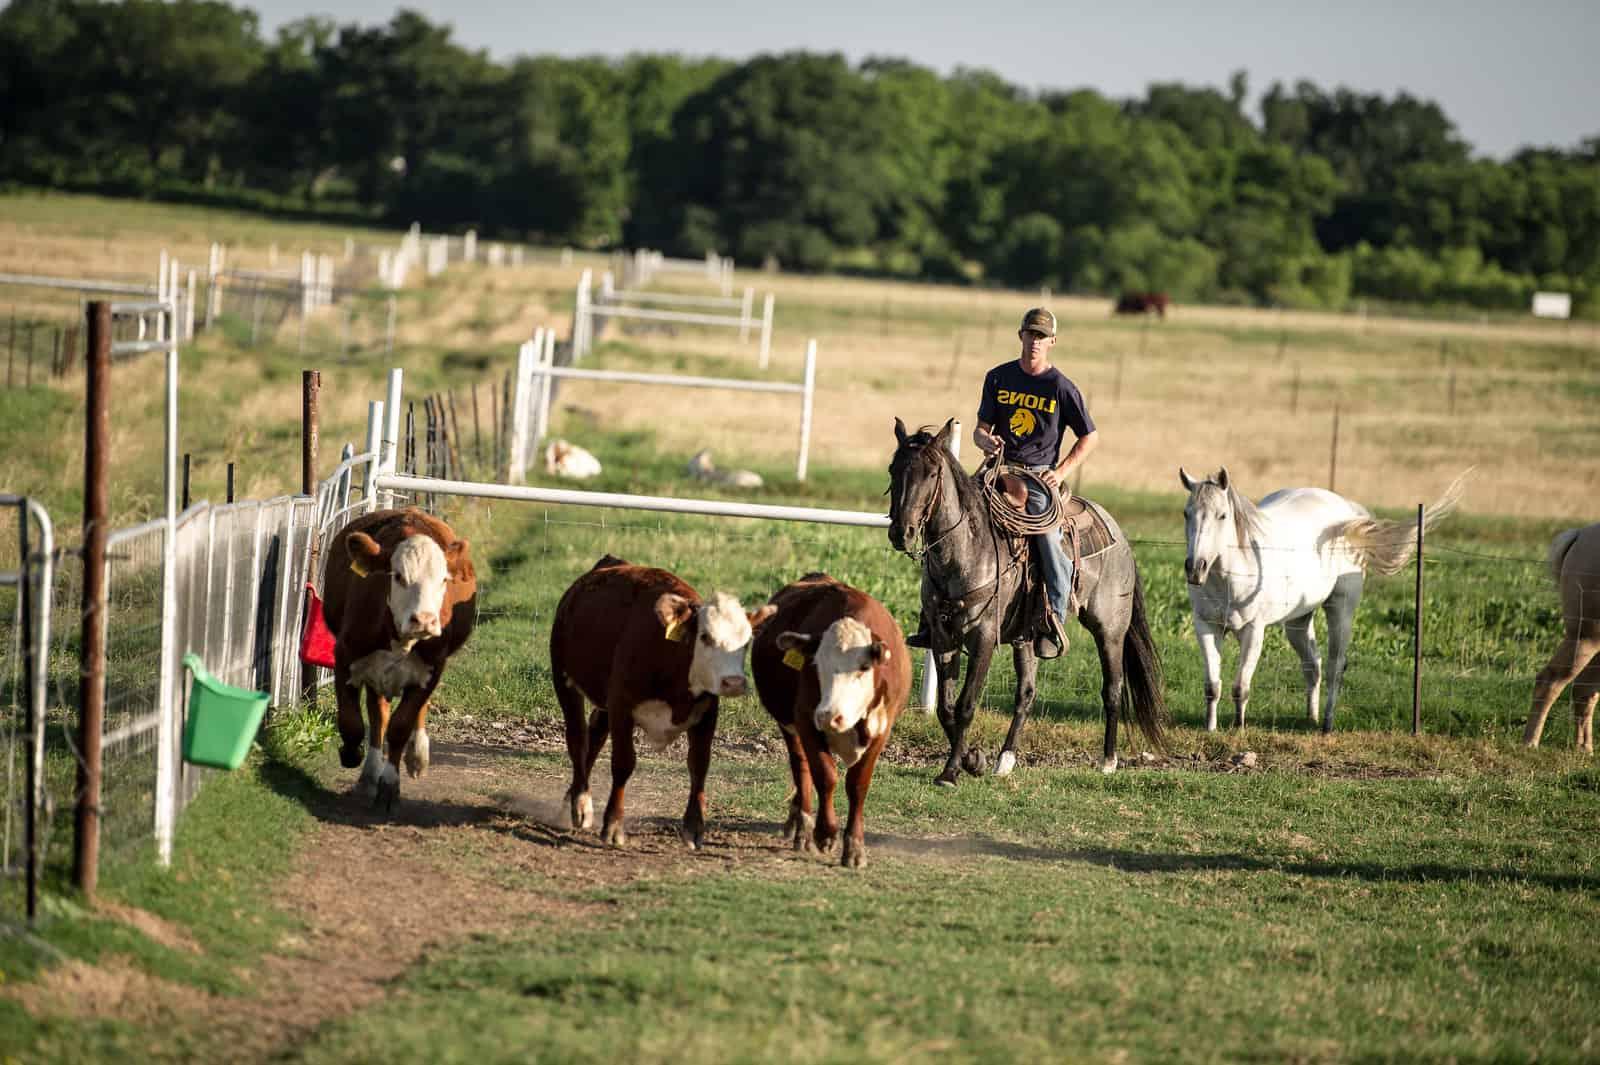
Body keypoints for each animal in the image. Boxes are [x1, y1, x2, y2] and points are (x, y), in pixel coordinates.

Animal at [321, 505, 473, 805]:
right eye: (399, 576)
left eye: (444, 580)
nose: (424, 620)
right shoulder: (345, 657)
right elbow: (352, 722)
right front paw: (351, 753)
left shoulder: (433, 668)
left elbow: (401, 726)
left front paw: (390, 783)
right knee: (377, 714)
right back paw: (369, 774)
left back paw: (416, 756)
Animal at [547, 556, 777, 844]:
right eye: (705, 637)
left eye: (746, 642)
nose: (733, 682)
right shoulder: (622, 706)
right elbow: (623, 763)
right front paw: (613, 824)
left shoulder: (707, 712)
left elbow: (699, 765)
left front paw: (694, 826)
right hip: (564, 677)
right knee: (577, 739)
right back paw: (580, 803)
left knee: (595, 734)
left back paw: (571, 799)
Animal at [745, 572, 908, 863]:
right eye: (816, 664)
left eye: (863, 667)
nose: (829, 716)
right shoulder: (806, 721)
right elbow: (825, 775)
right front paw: (825, 833)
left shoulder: (882, 730)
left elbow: (857, 785)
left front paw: (854, 845)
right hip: (790, 726)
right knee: (801, 767)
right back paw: (802, 826)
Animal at [889, 415, 1164, 780]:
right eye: (893, 469)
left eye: (931, 474)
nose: (901, 532)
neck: (965, 551)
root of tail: (1119, 535)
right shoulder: (942, 635)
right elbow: (946, 708)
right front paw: (972, 760)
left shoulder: (983, 637)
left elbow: (965, 706)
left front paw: (951, 771)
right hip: (1026, 637)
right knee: (1026, 693)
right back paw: (1005, 759)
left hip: (1110, 630)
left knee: (1112, 688)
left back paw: (1108, 760)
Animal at [1177, 463, 1465, 729]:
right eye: (1186, 514)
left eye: (1222, 515)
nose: (1195, 568)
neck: (1233, 575)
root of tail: (1346, 510)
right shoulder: (1206, 627)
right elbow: (1212, 686)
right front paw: (1211, 730)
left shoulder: (1253, 630)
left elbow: (1241, 687)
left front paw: (1238, 730)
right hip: (1298, 621)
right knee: (1312, 665)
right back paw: (1311, 717)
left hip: (1340, 611)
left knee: (1334, 666)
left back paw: (1326, 724)